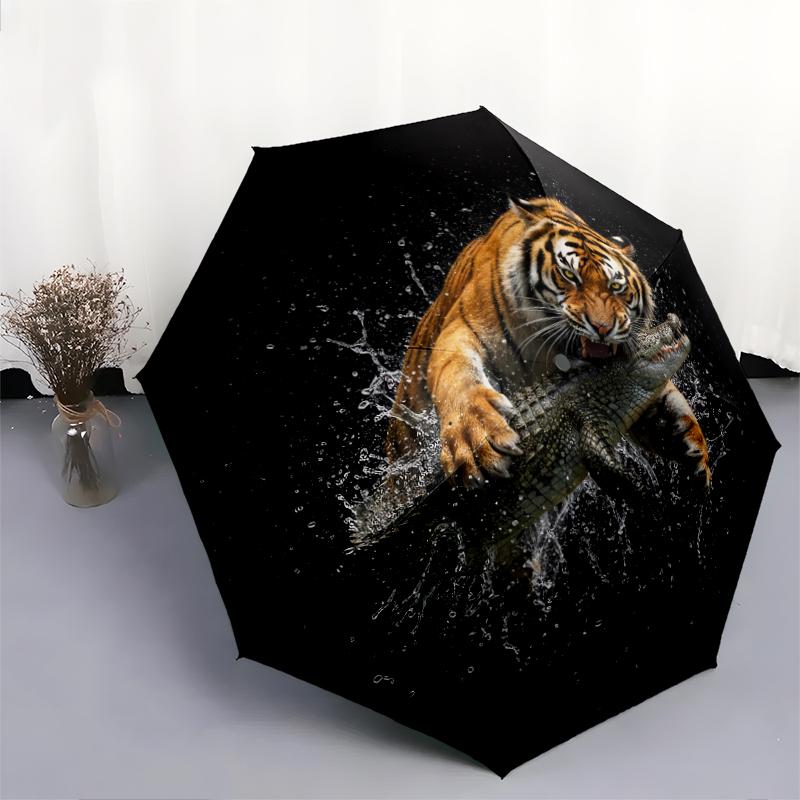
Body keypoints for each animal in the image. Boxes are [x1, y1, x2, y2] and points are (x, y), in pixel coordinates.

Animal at [386, 196, 711, 490]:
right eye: (569, 275)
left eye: (616, 287)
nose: (603, 328)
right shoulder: (464, 328)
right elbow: (457, 374)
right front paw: (475, 439)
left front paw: (685, 437)